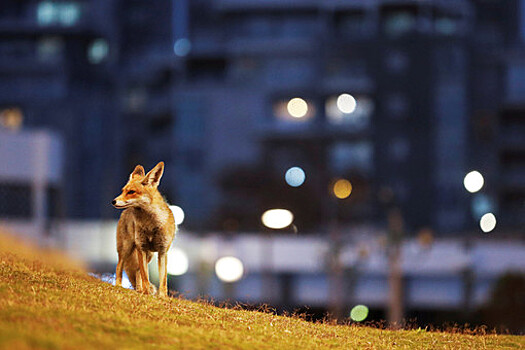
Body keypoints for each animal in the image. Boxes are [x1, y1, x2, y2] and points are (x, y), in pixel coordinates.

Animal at [110, 162, 176, 298]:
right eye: (123, 191)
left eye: (131, 192)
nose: (113, 201)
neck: (151, 225)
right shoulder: (142, 248)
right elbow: (146, 276)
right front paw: (147, 294)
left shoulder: (162, 252)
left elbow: (163, 279)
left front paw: (163, 297)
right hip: (126, 249)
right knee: (120, 267)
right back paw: (119, 285)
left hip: (149, 255)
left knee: (137, 271)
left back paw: (139, 290)